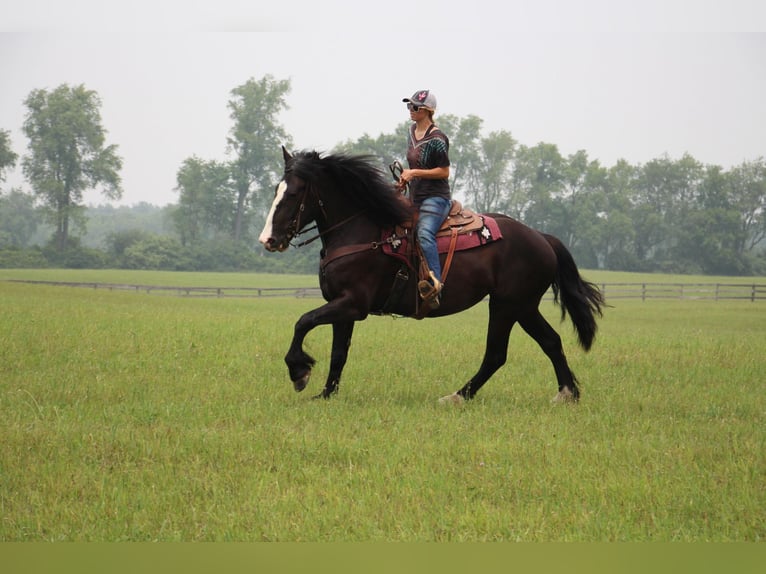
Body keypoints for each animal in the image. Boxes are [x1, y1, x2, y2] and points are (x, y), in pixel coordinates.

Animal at [264, 146, 608, 402]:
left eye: (293, 194)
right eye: (276, 190)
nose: (268, 239)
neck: (361, 232)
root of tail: (542, 238)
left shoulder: (353, 304)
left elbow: (303, 322)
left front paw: (299, 372)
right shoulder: (342, 305)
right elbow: (338, 353)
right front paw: (325, 394)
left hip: (508, 305)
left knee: (497, 354)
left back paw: (459, 395)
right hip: (522, 307)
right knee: (550, 341)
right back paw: (567, 393)